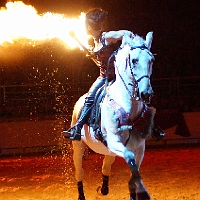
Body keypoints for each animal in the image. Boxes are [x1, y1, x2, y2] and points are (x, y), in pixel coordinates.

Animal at [69, 31, 155, 200]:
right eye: (134, 60)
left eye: (151, 60)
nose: (146, 93)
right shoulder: (115, 142)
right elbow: (130, 159)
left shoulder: (139, 148)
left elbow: (134, 170)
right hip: (78, 147)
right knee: (79, 172)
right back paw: (82, 194)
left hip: (108, 151)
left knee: (105, 166)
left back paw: (104, 188)